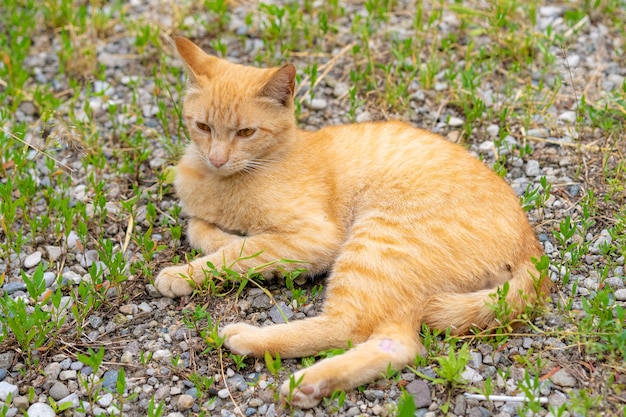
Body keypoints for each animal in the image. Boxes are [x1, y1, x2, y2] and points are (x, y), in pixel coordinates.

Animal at [154, 37, 548, 408]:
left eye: (246, 132)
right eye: (203, 126)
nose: (217, 158)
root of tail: (533, 249)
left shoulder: (319, 238)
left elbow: (242, 251)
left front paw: (183, 273)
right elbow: (205, 231)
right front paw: (228, 241)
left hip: (375, 242)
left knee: (350, 327)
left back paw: (257, 344)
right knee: (398, 345)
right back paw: (311, 385)